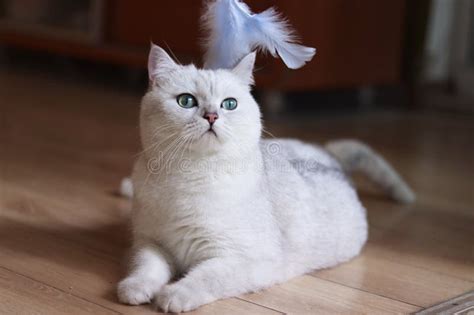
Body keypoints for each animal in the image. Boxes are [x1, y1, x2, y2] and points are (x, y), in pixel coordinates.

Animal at [118, 44, 414, 314]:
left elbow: (206, 277)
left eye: (229, 104)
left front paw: (173, 296)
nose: (212, 116)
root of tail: (328, 155)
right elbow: (146, 266)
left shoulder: (242, 259)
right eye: (186, 101)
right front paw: (134, 289)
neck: (189, 175)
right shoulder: (150, 242)